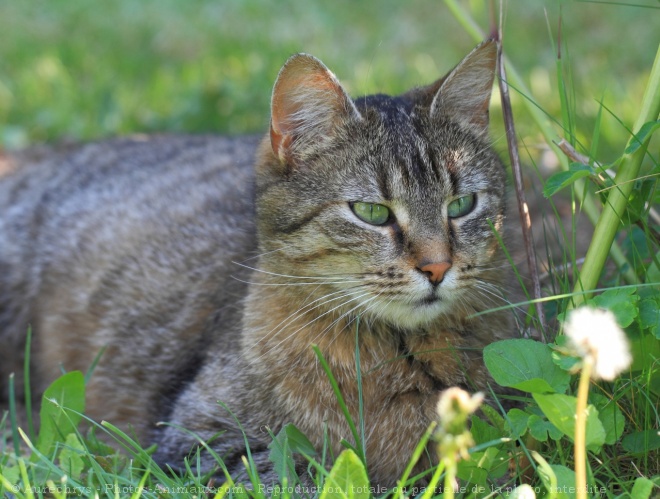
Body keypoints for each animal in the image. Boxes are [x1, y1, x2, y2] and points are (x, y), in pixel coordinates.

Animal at [0, 40, 516, 488]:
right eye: (372, 212)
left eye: (461, 205)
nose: (437, 267)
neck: (395, 354)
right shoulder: (200, 440)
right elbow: (315, 473)